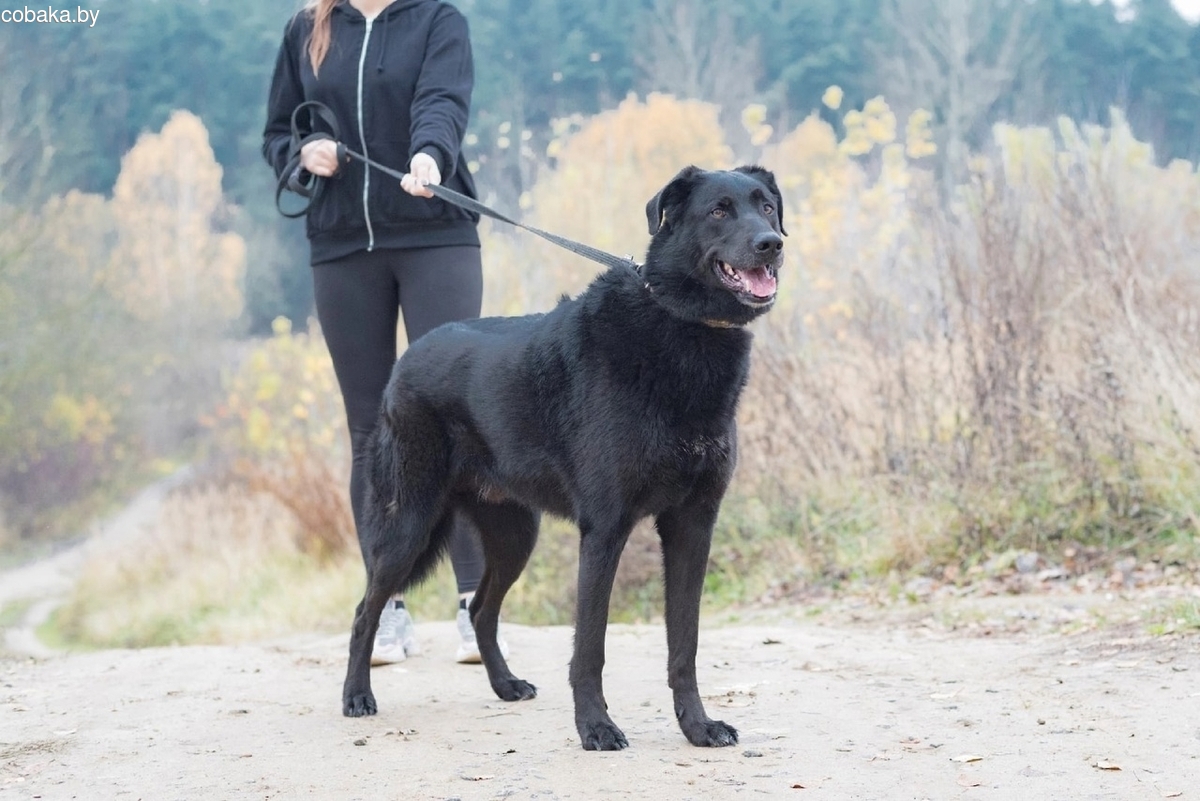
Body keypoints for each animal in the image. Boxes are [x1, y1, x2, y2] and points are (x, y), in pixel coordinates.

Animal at [341, 165, 785, 750]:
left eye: (767, 206)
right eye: (719, 210)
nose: (772, 244)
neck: (676, 320)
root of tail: (405, 361)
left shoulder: (692, 527)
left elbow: (684, 644)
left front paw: (697, 726)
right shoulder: (604, 530)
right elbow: (590, 647)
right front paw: (595, 727)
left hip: (514, 536)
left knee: (481, 610)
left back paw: (505, 685)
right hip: (407, 527)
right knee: (365, 609)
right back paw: (356, 696)